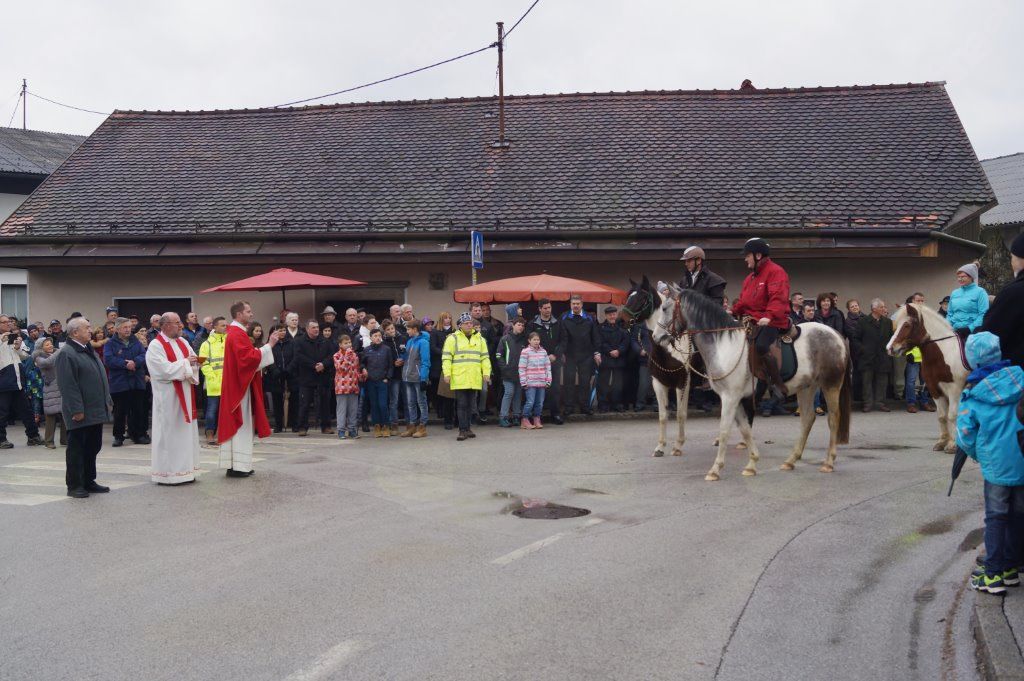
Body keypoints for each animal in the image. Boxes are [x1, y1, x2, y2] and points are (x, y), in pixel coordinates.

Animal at [620, 276, 692, 458]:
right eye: (628, 296)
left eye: (641, 298)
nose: (620, 320)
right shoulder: (659, 383)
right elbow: (663, 415)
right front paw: (660, 447)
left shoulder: (683, 382)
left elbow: (681, 414)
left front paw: (678, 446)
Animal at [652, 284, 852, 480]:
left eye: (664, 308)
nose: (656, 337)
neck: (724, 346)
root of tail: (836, 334)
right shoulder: (736, 398)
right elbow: (745, 429)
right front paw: (752, 464)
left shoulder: (730, 397)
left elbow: (724, 430)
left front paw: (715, 469)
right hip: (807, 388)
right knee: (807, 419)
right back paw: (790, 460)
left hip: (831, 384)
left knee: (833, 418)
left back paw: (828, 462)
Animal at [885, 303, 969, 453]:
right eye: (896, 325)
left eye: (907, 325)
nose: (890, 348)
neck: (943, 353)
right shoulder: (934, 389)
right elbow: (942, 416)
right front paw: (942, 442)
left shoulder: (954, 390)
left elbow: (952, 415)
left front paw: (952, 445)